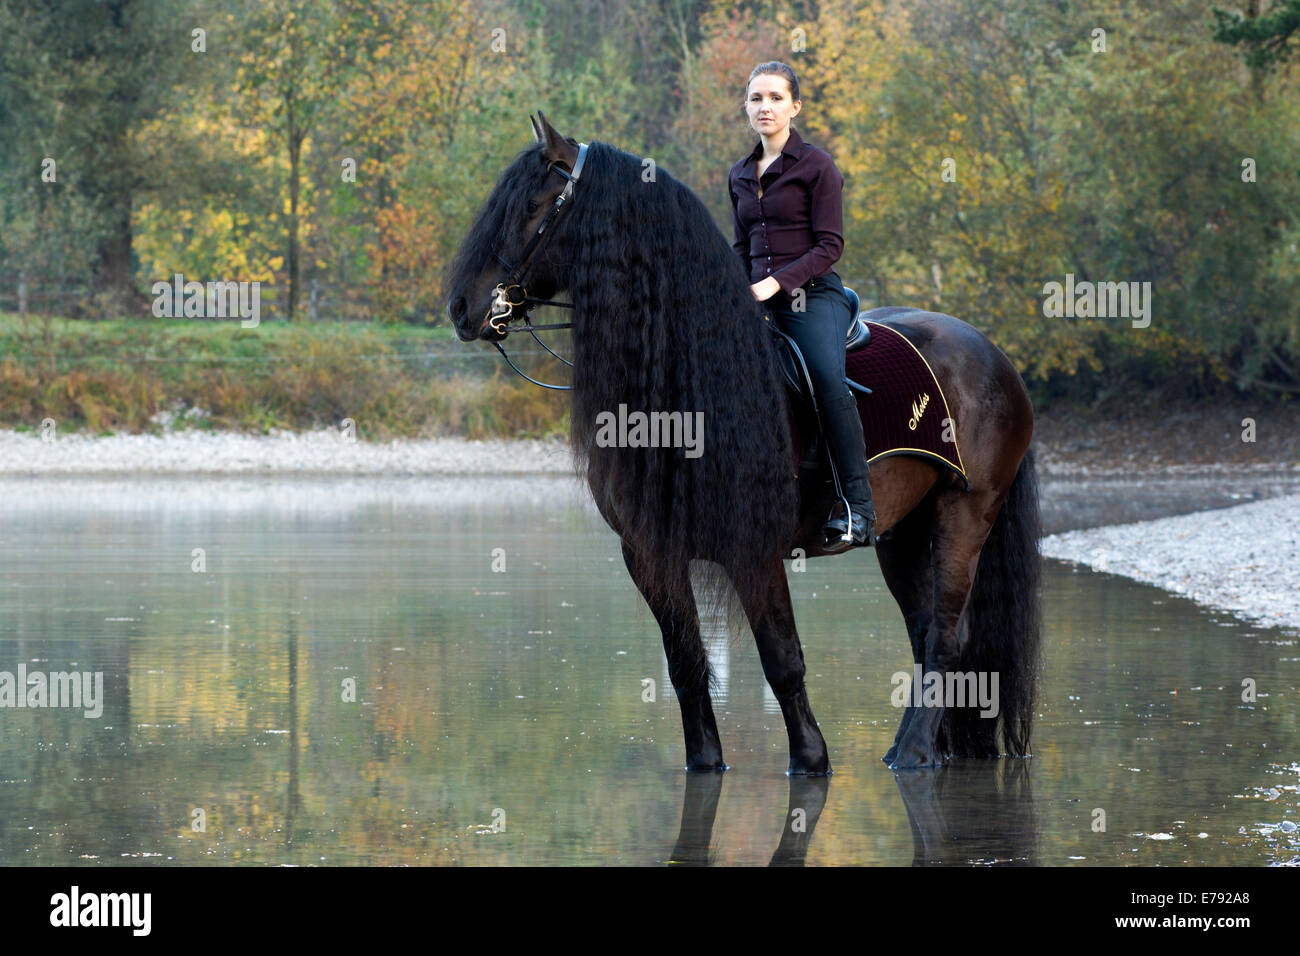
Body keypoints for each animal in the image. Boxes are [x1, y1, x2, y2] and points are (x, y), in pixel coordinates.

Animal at [444, 112, 1041, 772]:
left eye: (532, 205)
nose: (461, 308)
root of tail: (993, 355)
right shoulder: (649, 553)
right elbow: (685, 665)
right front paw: (706, 761)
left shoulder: (752, 549)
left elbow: (782, 660)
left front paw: (811, 760)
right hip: (905, 531)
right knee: (924, 630)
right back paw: (915, 749)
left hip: (965, 513)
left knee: (945, 637)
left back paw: (909, 754)